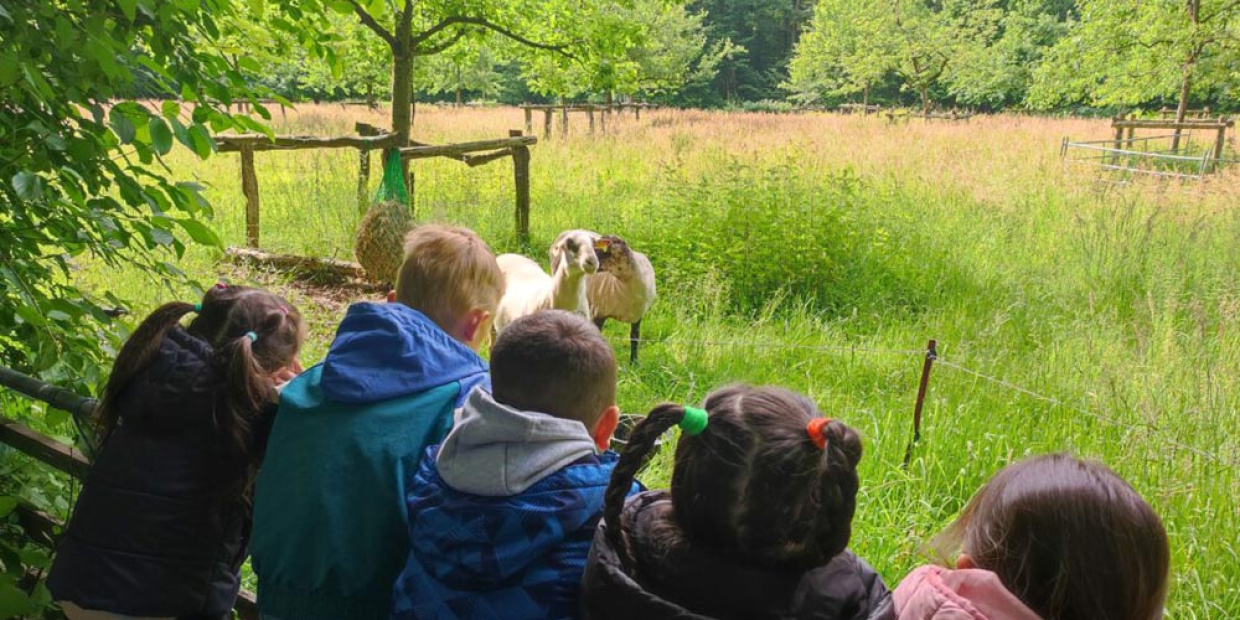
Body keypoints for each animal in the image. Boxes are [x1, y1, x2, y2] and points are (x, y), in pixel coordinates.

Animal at [552, 230, 656, 363]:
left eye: (600, 250)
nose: (589, 263)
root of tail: (568, 231)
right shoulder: (600, 312)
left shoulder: (638, 315)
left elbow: (634, 338)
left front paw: (634, 362)